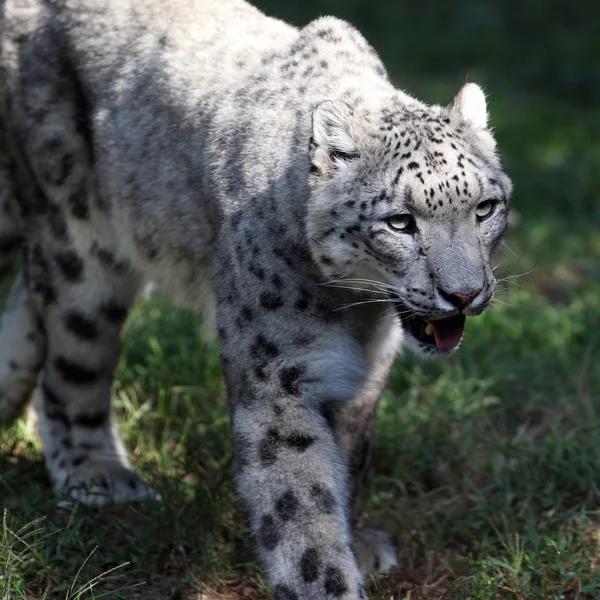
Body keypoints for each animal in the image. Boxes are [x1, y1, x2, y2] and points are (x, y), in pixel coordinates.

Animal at [0, 0, 510, 596]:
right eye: (400, 221)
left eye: (484, 208)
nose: (464, 293)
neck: (357, 312)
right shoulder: (279, 374)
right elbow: (300, 503)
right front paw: (331, 580)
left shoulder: (367, 367)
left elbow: (352, 451)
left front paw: (357, 538)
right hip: (78, 240)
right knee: (71, 359)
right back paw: (98, 474)